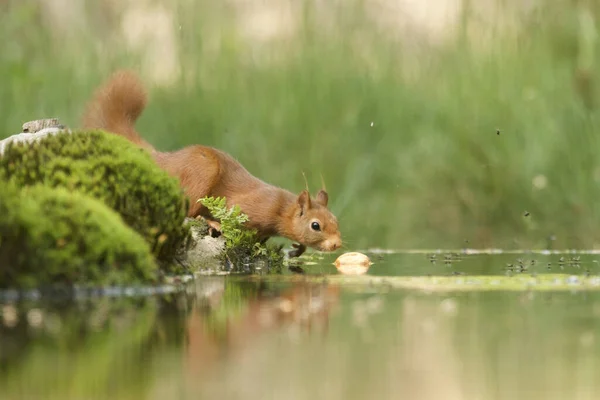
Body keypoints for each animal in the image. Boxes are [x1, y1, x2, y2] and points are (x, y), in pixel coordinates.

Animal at [80, 69, 342, 256]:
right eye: (315, 225)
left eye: (336, 220)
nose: (338, 244)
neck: (280, 207)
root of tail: (168, 160)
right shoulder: (250, 207)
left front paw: (298, 249)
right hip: (202, 174)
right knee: (189, 210)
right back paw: (210, 221)